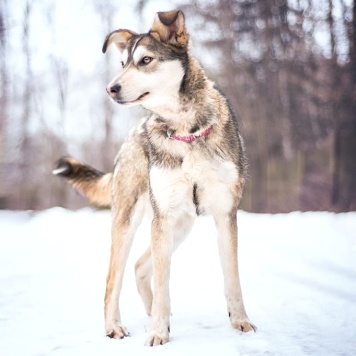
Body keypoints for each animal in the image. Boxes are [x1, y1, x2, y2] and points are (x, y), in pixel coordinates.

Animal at [53, 9, 256, 346]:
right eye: (123, 63)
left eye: (146, 60)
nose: (111, 88)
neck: (185, 130)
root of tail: (131, 137)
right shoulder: (163, 218)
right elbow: (163, 284)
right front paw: (159, 333)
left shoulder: (225, 213)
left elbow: (233, 278)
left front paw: (240, 322)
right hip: (132, 222)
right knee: (114, 279)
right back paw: (115, 326)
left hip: (180, 226)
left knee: (140, 266)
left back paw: (150, 316)